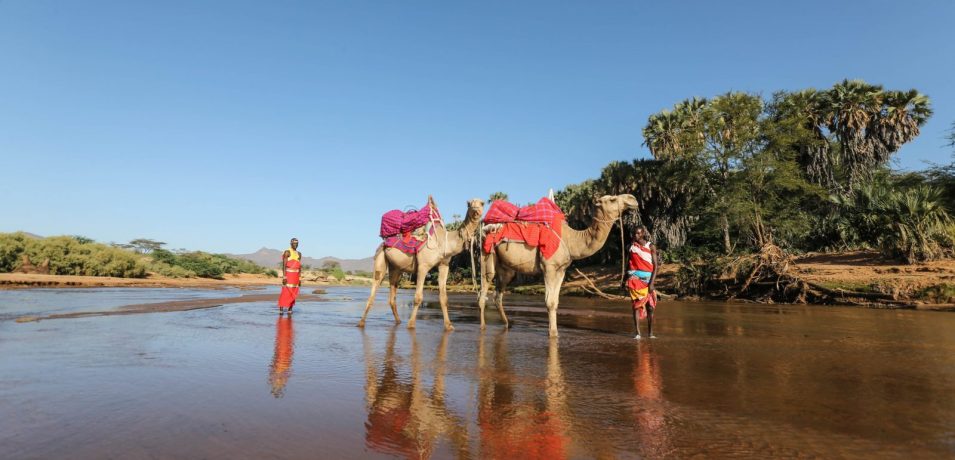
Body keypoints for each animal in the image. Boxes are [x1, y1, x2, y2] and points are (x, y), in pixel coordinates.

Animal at [358, 198, 486, 330]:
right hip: (380, 259)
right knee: (374, 288)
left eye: (482, 203)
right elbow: (418, 297)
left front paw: (449, 326)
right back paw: (361, 323)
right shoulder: (423, 266)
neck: (445, 242)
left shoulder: (444, 265)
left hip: (396, 268)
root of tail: (384, 242)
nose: (476, 210)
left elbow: (443, 298)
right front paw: (411, 324)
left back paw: (398, 321)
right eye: (469, 204)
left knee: (392, 296)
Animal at [478, 192, 644, 336]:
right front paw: (553, 334)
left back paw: (507, 324)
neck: (572, 241)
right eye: (612, 199)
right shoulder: (549, 267)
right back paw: (483, 326)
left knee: (498, 295)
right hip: (487, 253)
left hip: (506, 269)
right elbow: (550, 302)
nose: (633, 198)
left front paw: (555, 332)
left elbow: (556, 302)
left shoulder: (561, 269)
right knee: (484, 289)